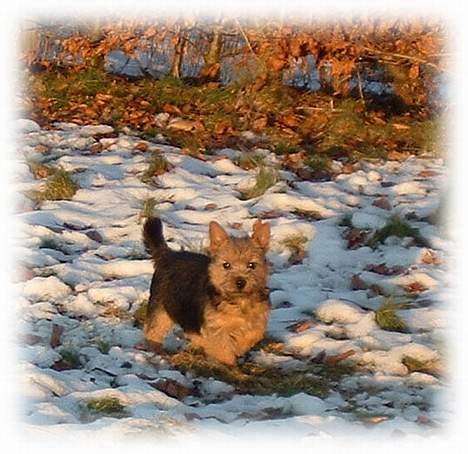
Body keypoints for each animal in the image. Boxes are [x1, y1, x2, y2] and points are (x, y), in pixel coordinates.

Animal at [142, 216, 270, 366]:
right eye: (226, 265)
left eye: (252, 265)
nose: (240, 282)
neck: (238, 302)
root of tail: (167, 255)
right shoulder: (215, 327)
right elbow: (222, 348)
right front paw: (226, 362)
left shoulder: (259, 318)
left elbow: (254, 333)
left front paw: (239, 346)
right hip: (161, 309)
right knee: (153, 333)